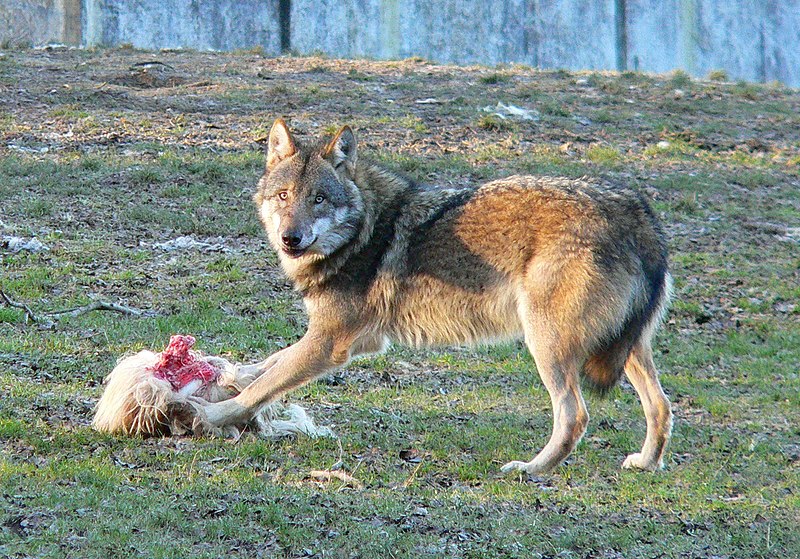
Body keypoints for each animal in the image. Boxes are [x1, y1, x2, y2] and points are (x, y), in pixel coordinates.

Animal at [192, 120, 668, 474]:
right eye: (284, 196)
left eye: (320, 199)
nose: (291, 238)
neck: (363, 233)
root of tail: (636, 210)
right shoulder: (354, 339)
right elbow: (270, 364)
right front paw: (231, 374)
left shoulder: (331, 343)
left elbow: (265, 385)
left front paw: (208, 414)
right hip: (625, 348)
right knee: (661, 407)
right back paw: (645, 463)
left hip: (546, 344)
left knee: (575, 416)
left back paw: (531, 469)